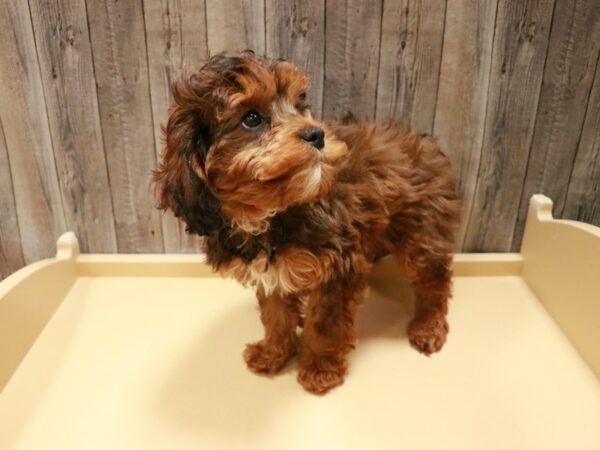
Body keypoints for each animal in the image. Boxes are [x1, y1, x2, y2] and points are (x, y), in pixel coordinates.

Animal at [154, 50, 460, 394]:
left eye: (299, 106)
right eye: (251, 119)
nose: (317, 133)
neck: (269, 214)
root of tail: (426, 143)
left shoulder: (338, 269)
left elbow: (325, 324)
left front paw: (319, 369)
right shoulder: (271, 275)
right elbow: (276, 315)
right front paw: (274, 353)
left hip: (421, 231)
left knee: (434, 281)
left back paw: (428, 327)